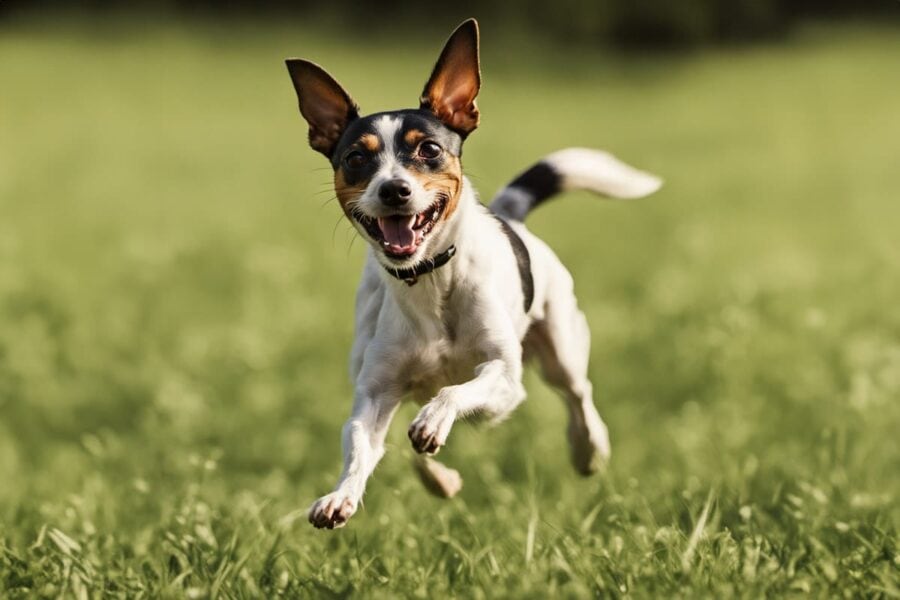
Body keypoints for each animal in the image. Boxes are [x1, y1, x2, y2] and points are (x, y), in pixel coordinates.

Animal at [288, 17, 660, 528]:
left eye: (428, 149)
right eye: (356, 159)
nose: (394, 189)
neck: (427, 280)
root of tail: (511, 213)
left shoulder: (504, 380)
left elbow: (455, 394)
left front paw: (434, 420)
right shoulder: (374, 391)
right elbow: (364, 444)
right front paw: (342, 495)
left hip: (560, 348)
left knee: (577, 393)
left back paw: (589, 449)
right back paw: (439, 477)